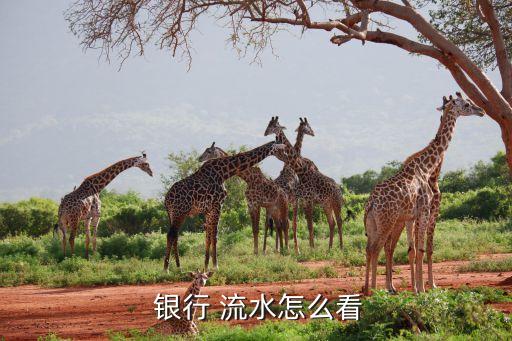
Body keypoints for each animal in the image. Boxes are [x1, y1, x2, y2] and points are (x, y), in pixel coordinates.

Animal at [164, 139, 286, 270]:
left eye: (208, 151)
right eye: (277, 146)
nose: (284, 149)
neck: (224, 172)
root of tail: (166, 200)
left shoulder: (209, 210)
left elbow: (208, 237)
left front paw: (206, 265)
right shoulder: (218, 205)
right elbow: (215, 236)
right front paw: (215, 266)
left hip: (173, 214)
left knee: (174, 235)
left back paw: (178, 266)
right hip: (180, 213)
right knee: (171, 235)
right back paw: (167, 268)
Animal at [264, 116, 344, 250]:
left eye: (273, 125)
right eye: (309, 126)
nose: (313, 132)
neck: (301, 171)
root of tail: (339, 189)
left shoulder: (304, 200)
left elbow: (304, 224)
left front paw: (308, 248)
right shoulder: (303, 200)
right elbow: (304, 224)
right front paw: (307, 248)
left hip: (334, 203)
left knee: (338, 221)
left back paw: (339, 248)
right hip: (326, 204)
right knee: (332, 222)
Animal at [364, 91, 484, 294]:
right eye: (467, 104)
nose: (481, 110)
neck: (427, 168)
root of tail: (371, 203)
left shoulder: (413, 215)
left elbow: (414, 250)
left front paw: (418, 288)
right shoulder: (425, 211)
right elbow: (421, 249)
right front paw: (422, 289)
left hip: (374, 223)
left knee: (370, 249)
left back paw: (368, 289)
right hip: (387, 221)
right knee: (377, 249)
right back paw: (375, 291)